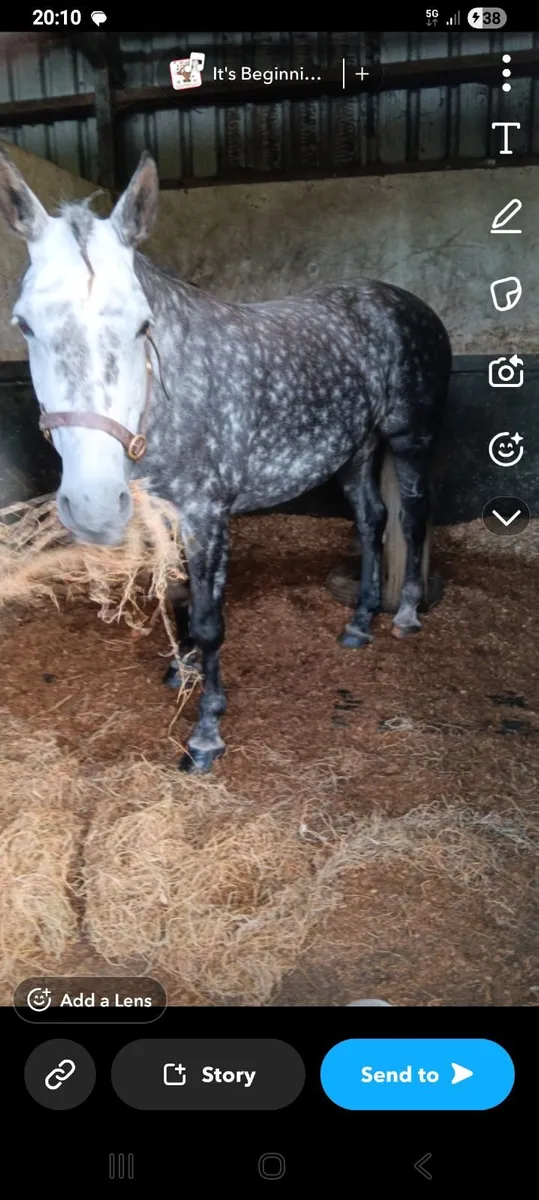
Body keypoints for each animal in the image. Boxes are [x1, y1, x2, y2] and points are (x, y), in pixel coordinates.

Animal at [0, 147, 452, 773]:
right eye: (24, 323)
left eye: (142, 324)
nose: (94, 506)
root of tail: (407, 303)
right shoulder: (169, 514)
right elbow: (185, 597)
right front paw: (181, 667)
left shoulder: (207, 514)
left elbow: (210, 620)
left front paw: (206, 733)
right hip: (355, 451)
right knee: (371, 521)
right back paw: (360, 623)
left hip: (410, 438)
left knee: (411, 516)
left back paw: (405, 615)